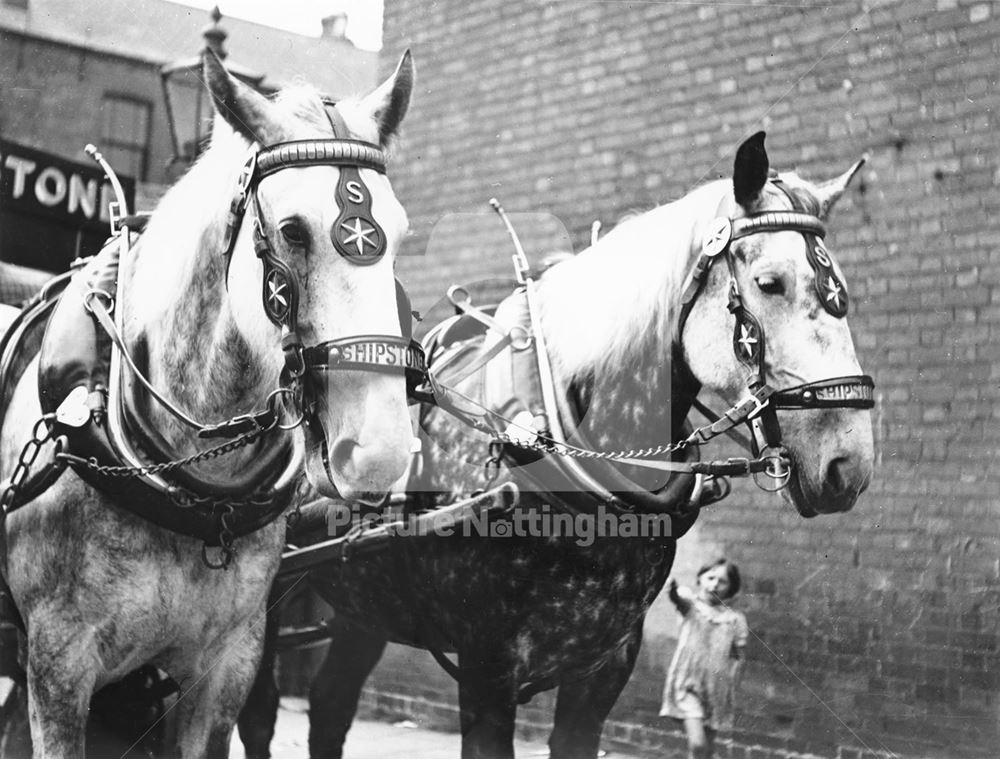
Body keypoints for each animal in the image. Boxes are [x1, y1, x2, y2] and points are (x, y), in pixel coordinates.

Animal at [0, 50, 420, 756]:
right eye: (292, 231)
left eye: (399, 232)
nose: (380, 449)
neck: (192, 487)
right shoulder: (57, 666)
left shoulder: (227, 671)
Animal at [242, 132, 876, 759]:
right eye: (770, 282)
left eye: (842, 293)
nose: (848, 463)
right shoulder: (487, 664)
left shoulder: (606, 665)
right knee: (260, 715)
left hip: (363, 605)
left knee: (330, 706)